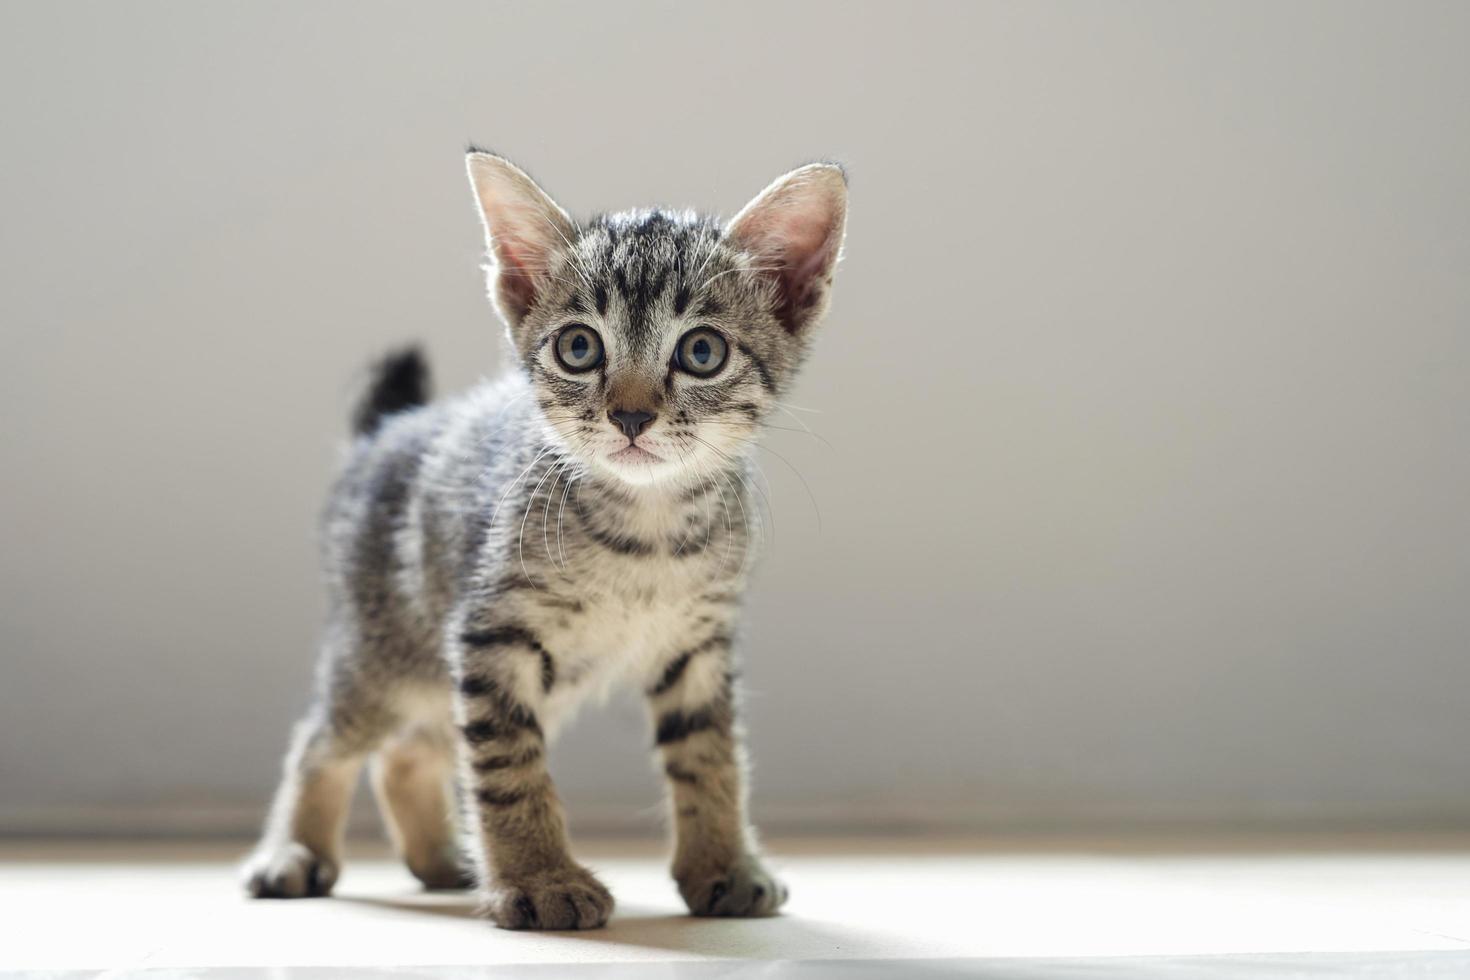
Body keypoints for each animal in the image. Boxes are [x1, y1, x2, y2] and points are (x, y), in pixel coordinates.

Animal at [244, 149, 852, 934]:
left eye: (702, 351)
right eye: (579, 347)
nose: (630, 416)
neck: (646, 531)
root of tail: (380, 437)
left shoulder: (699, 646)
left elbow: (710, 755)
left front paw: (723, 864)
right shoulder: (490, 635)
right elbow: (508, 766)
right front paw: (539, 879)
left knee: (409, 752)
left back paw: (441, 862)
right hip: (382, 656)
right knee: (322, 741)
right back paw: (292, 852)